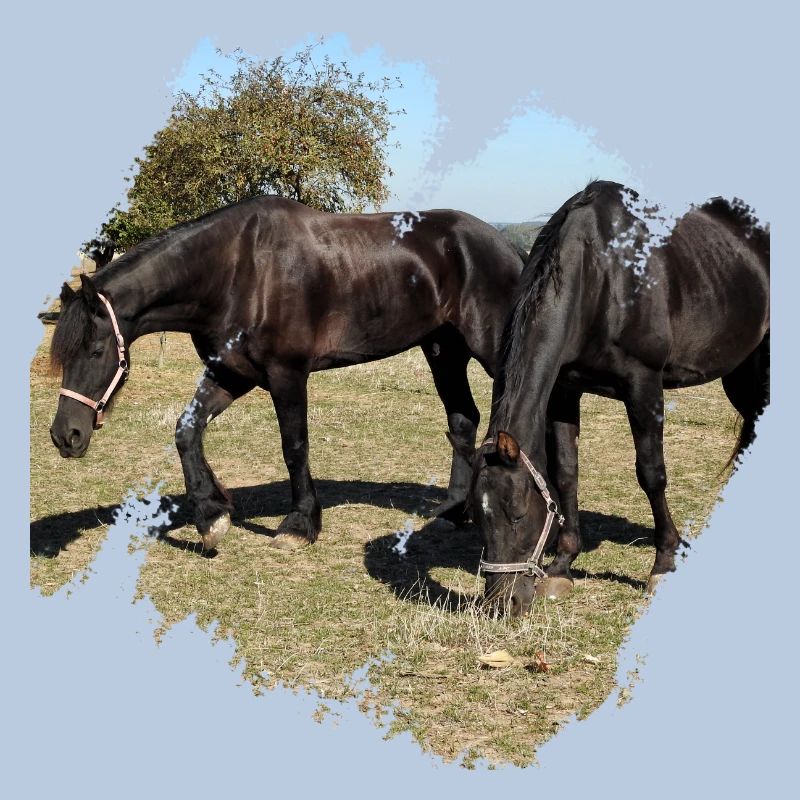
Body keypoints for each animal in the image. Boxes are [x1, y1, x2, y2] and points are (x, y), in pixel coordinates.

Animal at [49, 196, 525, 551]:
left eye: (95, 351)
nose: (65, 436)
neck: (238, 270)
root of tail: (507, 247)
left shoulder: (287, 375)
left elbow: (294, 447)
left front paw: (299, 525)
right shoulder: (231, 373)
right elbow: (187, 431)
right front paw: (211, 514)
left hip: (489, 350)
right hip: (443, 351)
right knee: (462, 420)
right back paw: (453, 512)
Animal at [467, 180, 769, 616]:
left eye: (518, 514)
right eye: (477, 515)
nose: (502, 604)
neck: (603, 274)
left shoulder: (643, 385)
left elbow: (651, 473)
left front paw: (662, 563)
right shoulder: (565, 390)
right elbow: (566, 472)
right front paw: (562, 565)